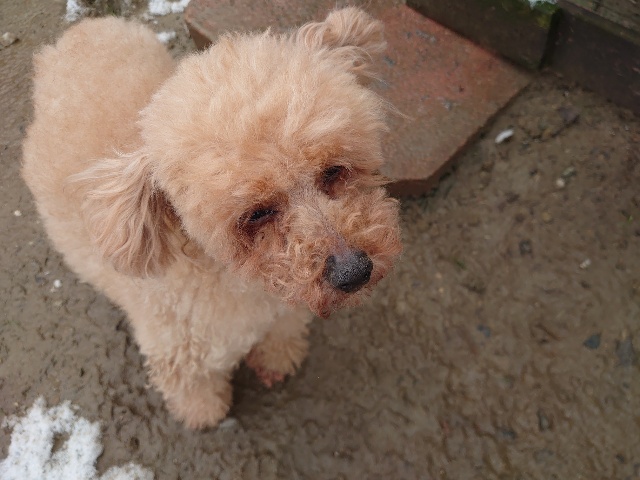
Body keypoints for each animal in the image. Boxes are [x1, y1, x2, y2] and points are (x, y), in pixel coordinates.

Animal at [22, 7, 402, 429]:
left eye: (333, 170)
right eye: (256, 214)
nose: (356, 273)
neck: (238, 280)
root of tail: (78, 32)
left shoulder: (282, 306)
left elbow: (282, 331)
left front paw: (278, 358)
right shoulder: (177, 349)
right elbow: (193, 386)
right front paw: (204, 412)